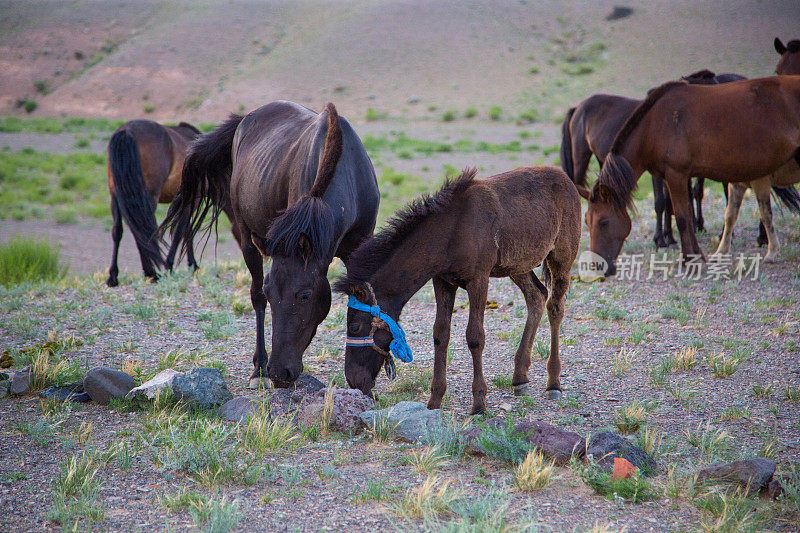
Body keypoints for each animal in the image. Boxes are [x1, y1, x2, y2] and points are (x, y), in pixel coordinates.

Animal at [106, 120, 206, 286]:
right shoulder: (192, 200)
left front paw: (191, 264)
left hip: (116, 196)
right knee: (142, 230)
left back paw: (113, 277)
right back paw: (151, 273)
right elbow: (183, 230)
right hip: (148, 196)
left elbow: (185, 229)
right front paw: (172, 266)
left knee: (117, 231)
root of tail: (127, 131)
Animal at [161, 102, 380, 386]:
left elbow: (363, 300)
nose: (280, 372)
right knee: (255, 297)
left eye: (304, 295)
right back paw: (259, 369)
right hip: (247, 238)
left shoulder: (360, 247)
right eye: (271, 291)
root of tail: (245, 119)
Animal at [334, 165, 580, 412]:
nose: (354, 380)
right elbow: (440, 334)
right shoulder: (443, 282)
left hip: (562, 257)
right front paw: (435, 399)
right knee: (536, 296)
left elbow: (475, 336)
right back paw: (520, 377)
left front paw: (479, 402)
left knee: (555, 307)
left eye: (354, 326)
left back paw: (553, 383)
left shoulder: (479, 280)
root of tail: (566, 178)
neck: (450, 234)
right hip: (518, 264)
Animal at [560, 69, 748, 247]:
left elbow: (676, 201)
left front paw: (672, 235)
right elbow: (661, 202)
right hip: (581, 158)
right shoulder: (661, 173)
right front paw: (661, 239)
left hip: (602, 162)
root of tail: (578, 107)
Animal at [580, 77, 800, 272]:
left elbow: (683, 218)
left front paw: (688, 261)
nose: (597, 267)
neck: (656, 125)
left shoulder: (676, 175)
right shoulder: (679, 177)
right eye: (587, 222)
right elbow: (686, 214)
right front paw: (697, 256)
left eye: (603, 222)